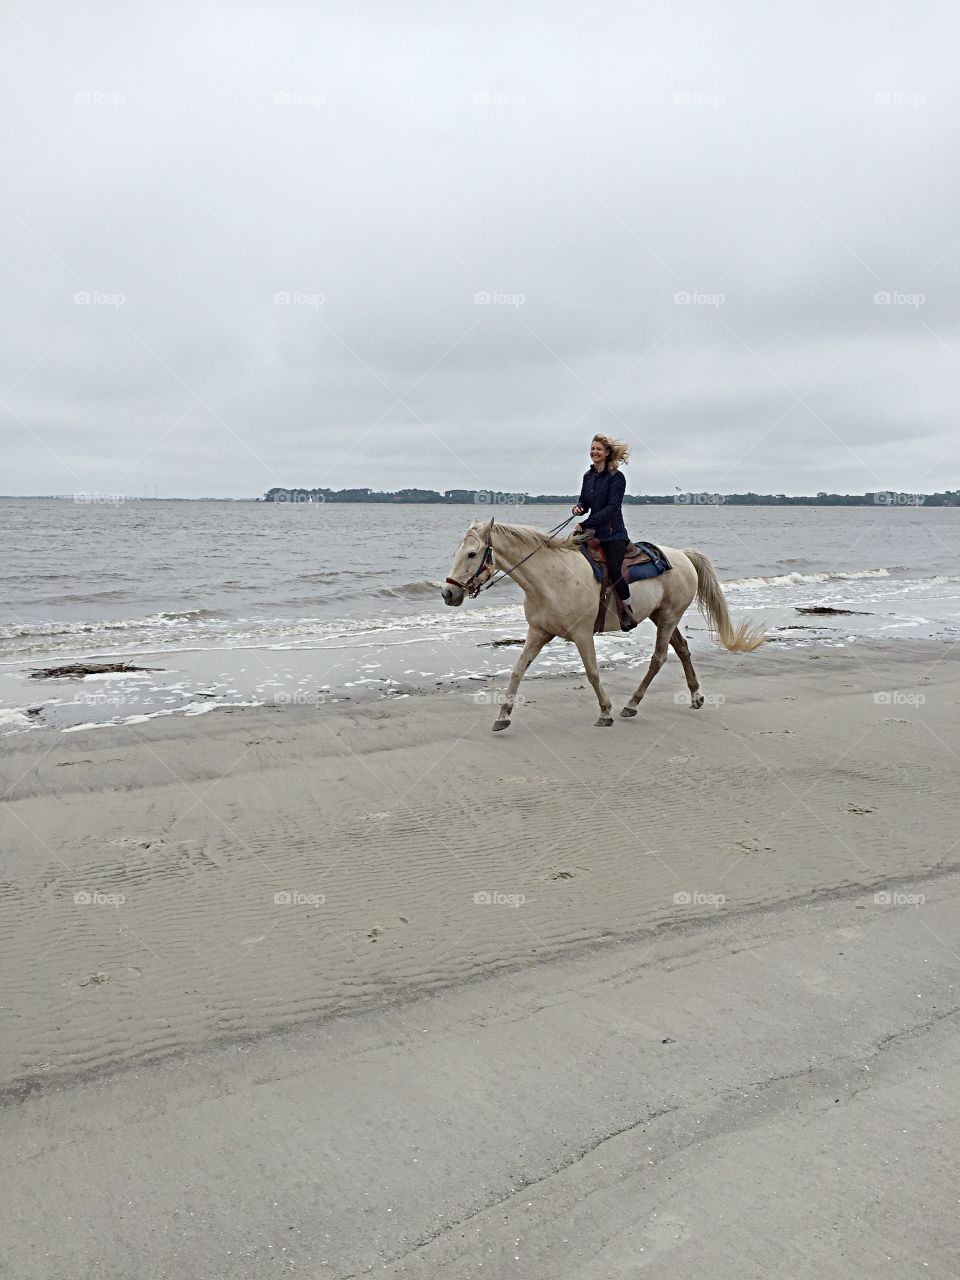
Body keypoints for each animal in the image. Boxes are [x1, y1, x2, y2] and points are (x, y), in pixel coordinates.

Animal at [442, 514, 768, 727]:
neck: (550, 578)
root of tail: (683, 556)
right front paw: (503, 715)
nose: (448, 593)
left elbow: (592, 673)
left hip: (667, 618)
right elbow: (517, 671)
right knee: (683, 649)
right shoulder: (538, 632)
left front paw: (605, 711)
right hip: (662, 616)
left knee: (659, 658)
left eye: (472, 554)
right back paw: (695, 696)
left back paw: (631, 704)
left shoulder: (582, 634)